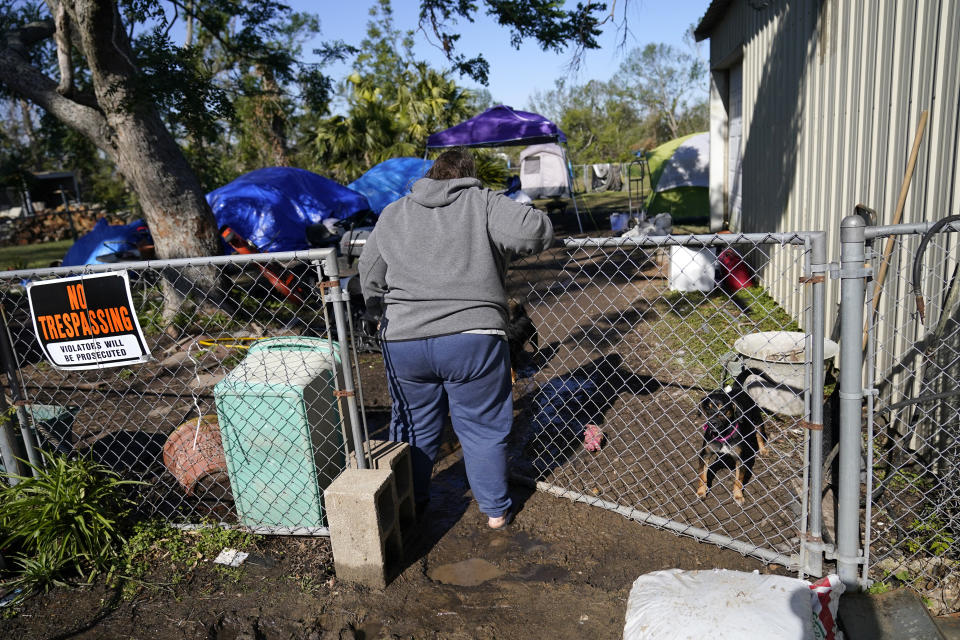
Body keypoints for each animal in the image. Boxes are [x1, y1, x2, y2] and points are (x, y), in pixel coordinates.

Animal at [692, 376, 768, 504]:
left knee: (760, 435)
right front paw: (701, 492)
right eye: (707, 408)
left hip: (757, 420)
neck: (723, 434)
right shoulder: (705, 454)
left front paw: (738, 496)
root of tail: (738, 389)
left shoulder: (741, 460)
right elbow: (702, 476)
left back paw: (763, 450)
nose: (712, 423)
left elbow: (739, 480)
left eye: (723, 409)